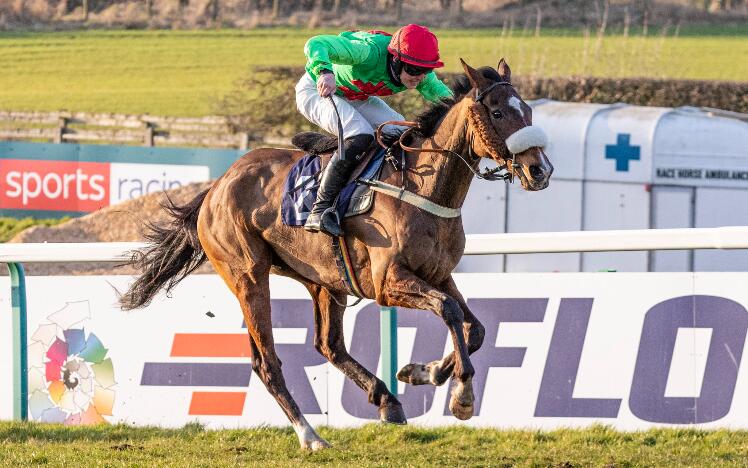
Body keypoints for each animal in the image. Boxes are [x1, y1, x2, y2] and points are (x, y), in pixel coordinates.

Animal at [120, 58, 552, 450]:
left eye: (529, 111)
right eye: (497, 112)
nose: (540, 170)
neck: (422, 189)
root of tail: (215, 187)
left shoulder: (438, 274)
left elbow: (473, 327)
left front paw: (421, 372)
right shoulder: (388, 282)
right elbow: (448, 311)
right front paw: (461, 396)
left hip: (325, 280)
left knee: (329, 345)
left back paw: (386, 399)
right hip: (247, 275)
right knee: (267, 362)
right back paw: (310, 435)